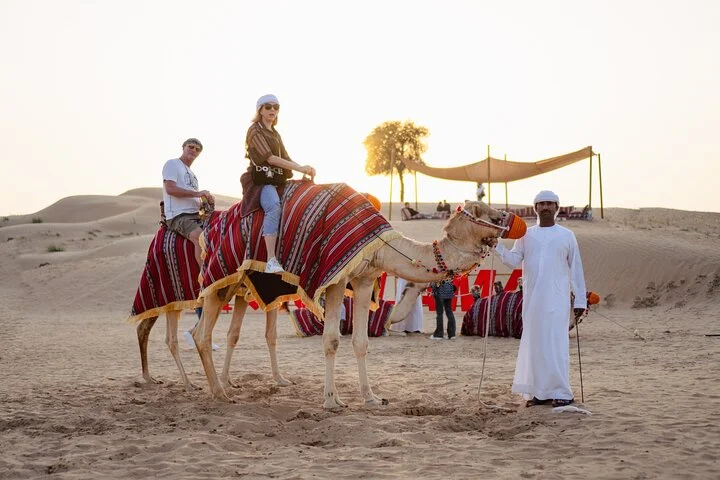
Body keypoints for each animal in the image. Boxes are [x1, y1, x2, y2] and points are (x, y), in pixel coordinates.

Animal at [192, 196, 525, 409]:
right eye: (481, 210)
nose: (507, 219)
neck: (384, 248)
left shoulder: (365, 280)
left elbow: (361, 342)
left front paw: (371, 398)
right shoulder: (336, 278)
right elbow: (331, 339)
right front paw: (331, 400)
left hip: (240, 286)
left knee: (223, 331)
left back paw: (225, 385)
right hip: (221, 279)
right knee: (202, 333)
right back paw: (219, 393)